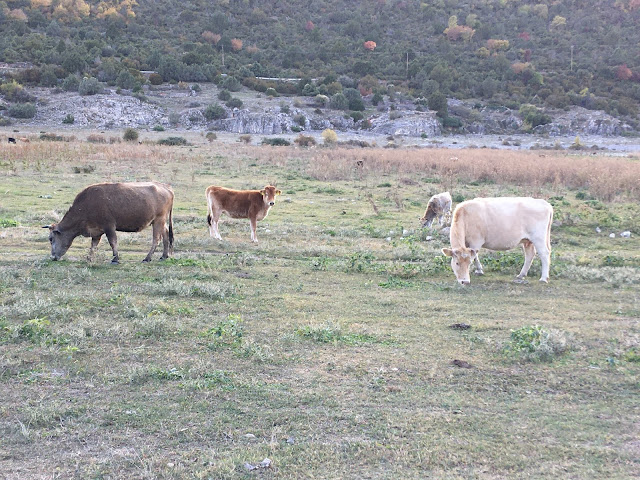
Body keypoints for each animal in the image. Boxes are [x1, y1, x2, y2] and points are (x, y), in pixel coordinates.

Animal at [43, 181, 174, 262]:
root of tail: (166, 187)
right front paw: (89, 257)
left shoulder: (109, 227)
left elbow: (113, 242)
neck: (86, 205)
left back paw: (147, 258)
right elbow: (93, 245)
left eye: (51, 238)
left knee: (156, 239)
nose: (52, 257)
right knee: (166, 234)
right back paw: (164, 256)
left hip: (158, 220)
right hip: (161, 222)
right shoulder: (96, 231)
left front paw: (115, 258)